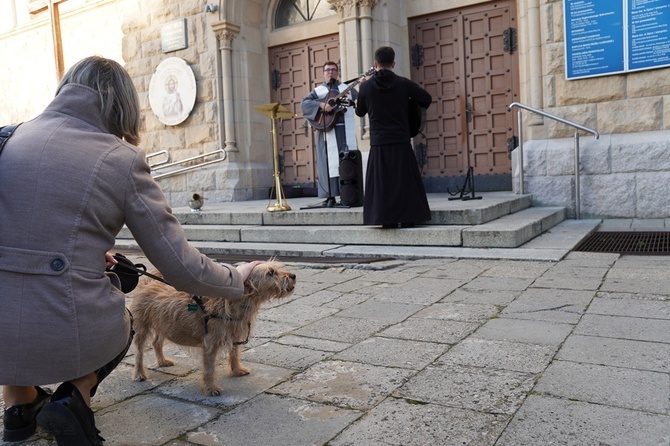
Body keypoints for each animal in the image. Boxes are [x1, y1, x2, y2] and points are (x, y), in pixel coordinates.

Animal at [131, 260, 296, 396]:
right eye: (271, 272)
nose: (293, 275)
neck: (237, 302)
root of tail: (146, 281)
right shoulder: (210, 344)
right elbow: (209, 368)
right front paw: (210, 388)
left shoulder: (234, 336)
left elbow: (234, 354)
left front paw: (236, 370)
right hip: (141, 327)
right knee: (139, 351)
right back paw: (139, 373)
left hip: (162, 324)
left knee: (156, 342)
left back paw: (162, 361)